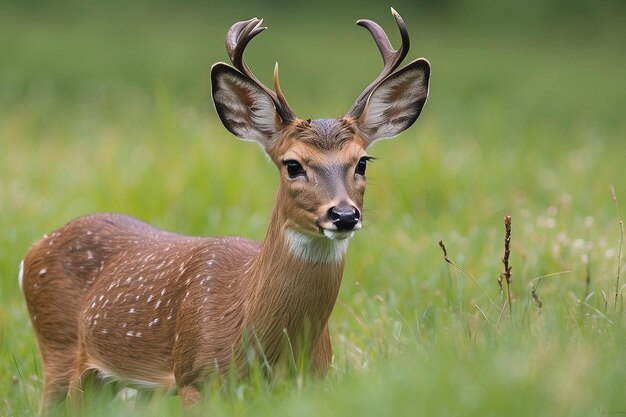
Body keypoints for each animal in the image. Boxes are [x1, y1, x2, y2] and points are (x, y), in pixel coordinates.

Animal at [19, 8, 428, 412]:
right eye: (292, 164)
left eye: (362, 162)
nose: (343, 215)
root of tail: (32, 251)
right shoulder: (193, 377)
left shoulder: (311, 381)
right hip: (61, 350)